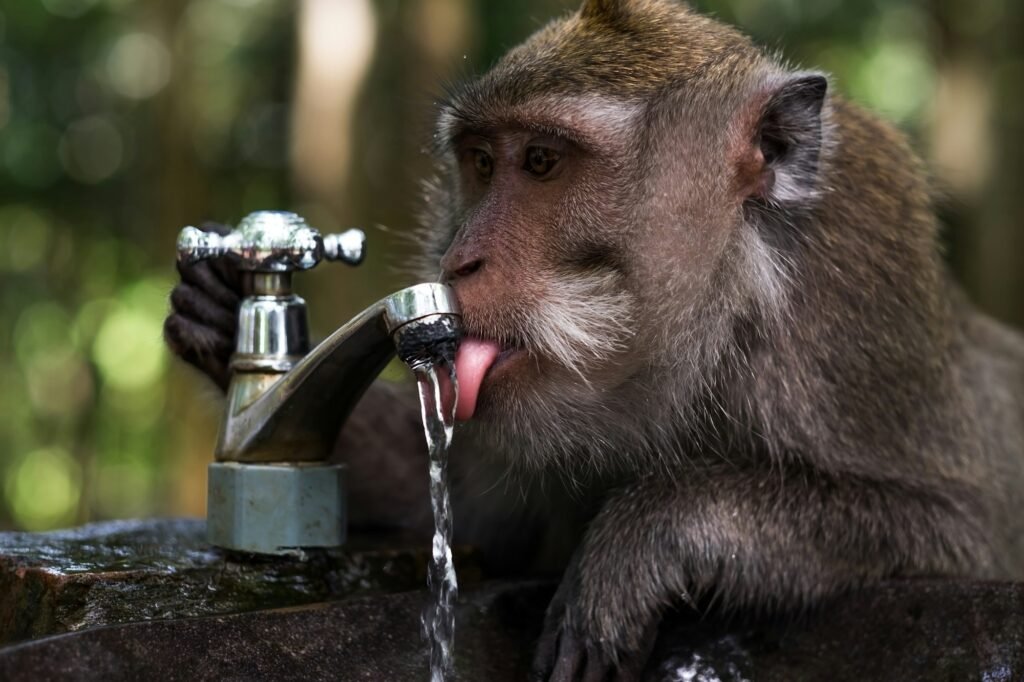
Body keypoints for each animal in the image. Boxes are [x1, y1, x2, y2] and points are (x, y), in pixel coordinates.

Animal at [163, 0, 1024, 675]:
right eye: (482, 162)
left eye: (543, 162)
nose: (459, 259)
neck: (719, 317)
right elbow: (472, 513)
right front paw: (222, 318)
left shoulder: (850, 311)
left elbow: (949, 529)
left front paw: (647, 535)